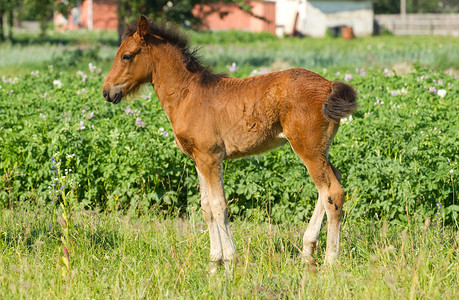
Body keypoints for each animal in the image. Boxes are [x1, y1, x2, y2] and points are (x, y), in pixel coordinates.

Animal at [102, 16, 358, 270]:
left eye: (127, 56)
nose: (106, 92)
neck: (188, 95)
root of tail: (329, 85)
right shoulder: (199, 159)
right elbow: (206, 206)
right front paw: (214, 261)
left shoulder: (211, 157)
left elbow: (219, 205)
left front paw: (230, 260)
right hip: (319, 149)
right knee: (331, 183)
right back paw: (307, 252)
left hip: (308, 149)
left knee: (332, 192)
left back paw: (330, 260)